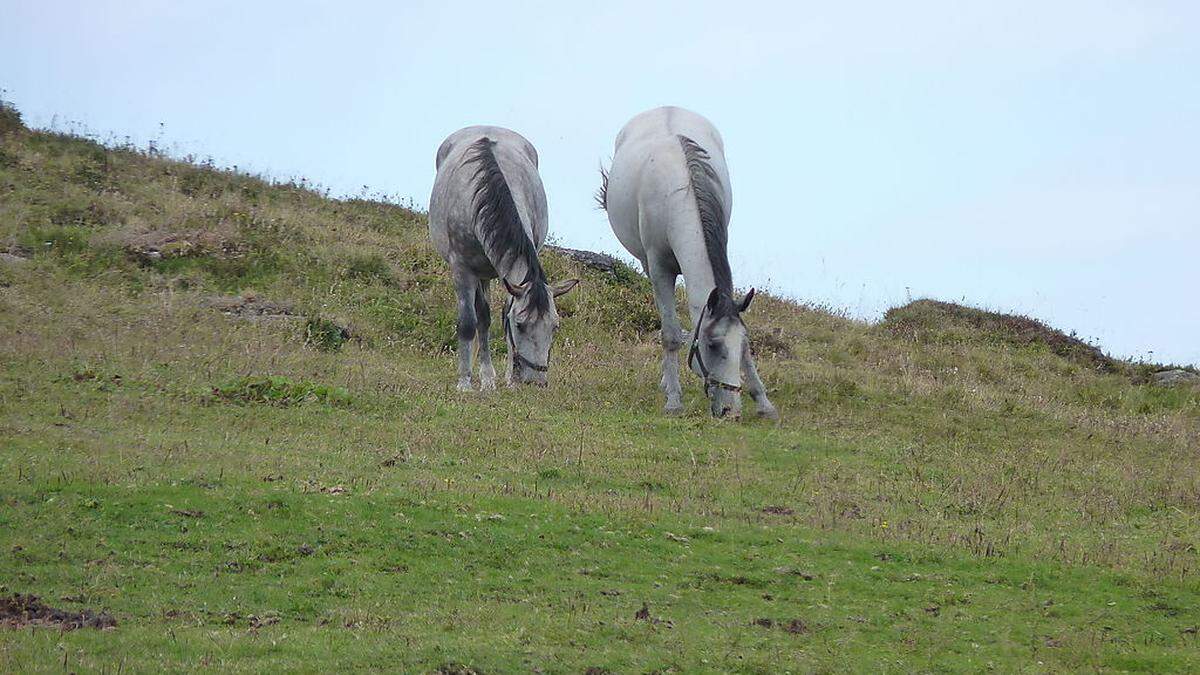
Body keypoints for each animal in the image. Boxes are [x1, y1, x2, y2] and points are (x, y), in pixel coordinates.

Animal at [429, 126, 578, 389]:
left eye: (555, 326)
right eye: (521, 325)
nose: (536, 382)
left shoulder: (510, 277)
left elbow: (502, 316)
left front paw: (510, 379)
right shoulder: (462, 269)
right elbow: (468, 323)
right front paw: (464, 382)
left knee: (485, 318)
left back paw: (489, 379)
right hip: (478, 274)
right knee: (481, 318)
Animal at [600, 106, 777, 417]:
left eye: (742, 343)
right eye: (713, 345)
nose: (731, 411)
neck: (677, 192)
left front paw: (763, 401)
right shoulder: (659, 268)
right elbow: (670, 333)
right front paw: (674, 400)